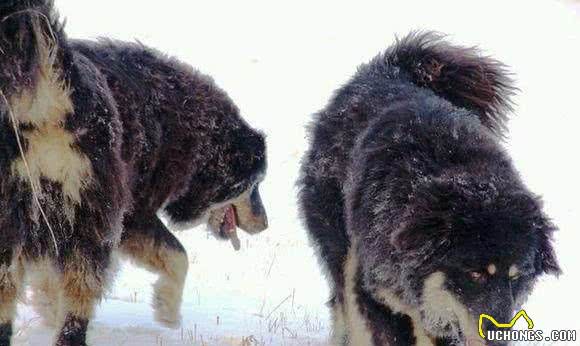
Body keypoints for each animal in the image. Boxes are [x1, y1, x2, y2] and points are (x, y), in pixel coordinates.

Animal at [0, 1, 268, 344]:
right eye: (254, 184)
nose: (264, 224)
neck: (173, 120)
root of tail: (52, 102)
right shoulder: (132, 216)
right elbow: (178, 256)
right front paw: (168, 311)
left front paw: (46, 310)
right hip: (90, 217)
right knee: (79, 301)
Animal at [296, 31, 560, 344]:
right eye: (475, 275)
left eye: (516, 277)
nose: (499, 337)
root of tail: (388, 68)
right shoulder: (377, 293)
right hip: (339, 243)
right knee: (341, 302)